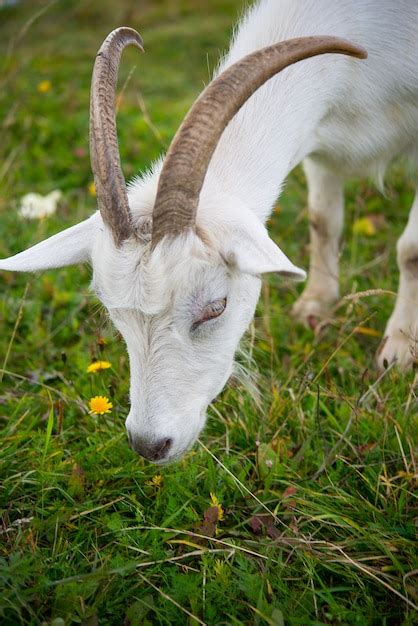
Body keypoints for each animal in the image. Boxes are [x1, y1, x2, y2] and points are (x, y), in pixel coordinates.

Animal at [0, 0, 418, 464]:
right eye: (112, 313)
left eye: (216, 308)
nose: (149, 445)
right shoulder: (318, 139)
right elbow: (322, 220)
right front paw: (316, 305)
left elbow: (409, 249)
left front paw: (398, 350)